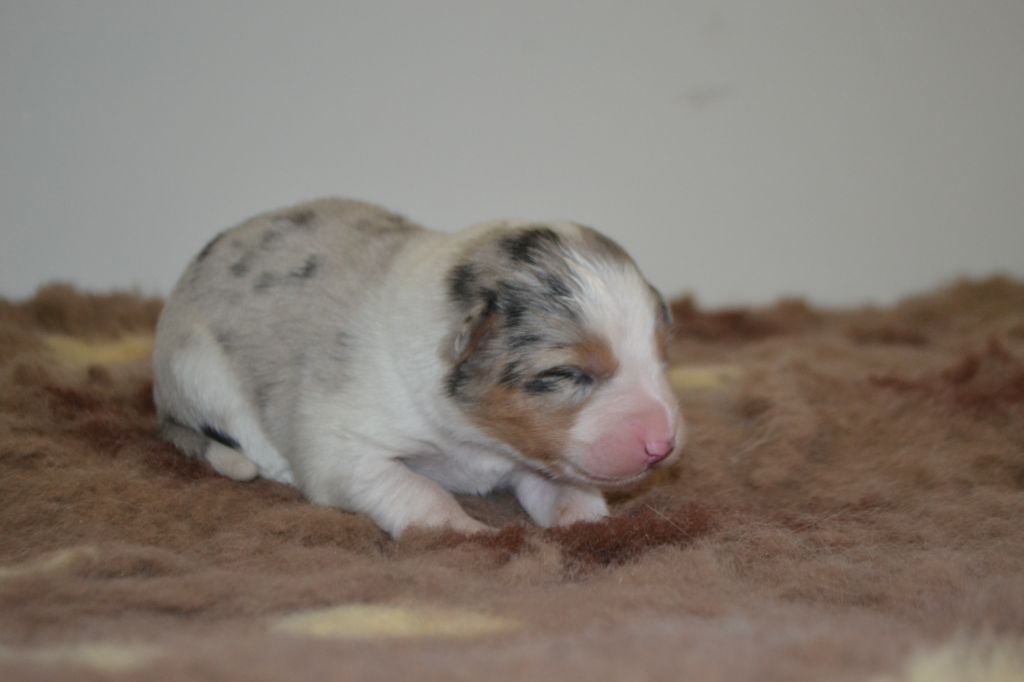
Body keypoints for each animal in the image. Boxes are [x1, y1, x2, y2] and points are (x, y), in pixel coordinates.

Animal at [152, 198, 684, 537]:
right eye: (566, 374)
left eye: (662, 355)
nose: (662, 446)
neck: (478, 439)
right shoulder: (345, 446)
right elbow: (414, 488)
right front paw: (462, 529)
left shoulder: (532, 453)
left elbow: (562, 486)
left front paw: (589, 520)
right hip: (199, 370)